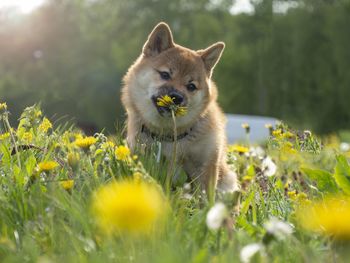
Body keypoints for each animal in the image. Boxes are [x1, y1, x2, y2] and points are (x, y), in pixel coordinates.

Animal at [121, 22, 239, 194]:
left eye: (191, 86)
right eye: (165, 74)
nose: (176, 97)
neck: (170, 135)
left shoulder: (207, 162)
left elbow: (205, 196)